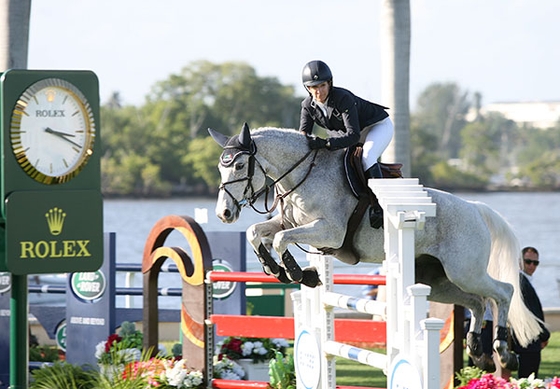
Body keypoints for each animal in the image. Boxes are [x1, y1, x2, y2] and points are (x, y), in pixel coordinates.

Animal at [209, 123, 544, 372]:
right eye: (220, 168)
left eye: (240, 165)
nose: (224, 213)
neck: (305, 175)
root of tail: (475, 207)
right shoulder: (289, 223)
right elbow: (256, 232)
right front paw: (275, 268)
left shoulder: (328, 232)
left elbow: (280, 240)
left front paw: (299, 274)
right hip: (438, 281)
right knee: (476, 301)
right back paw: (477, 351)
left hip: (465, 270)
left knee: (502, 293)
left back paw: (503, 352)